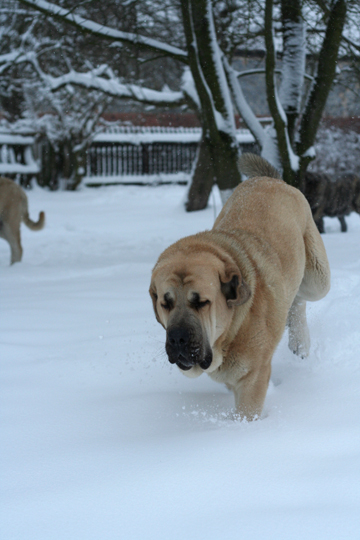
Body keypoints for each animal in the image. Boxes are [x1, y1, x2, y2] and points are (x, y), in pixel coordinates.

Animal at [150, 154, 332, 420]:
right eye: (165, 303)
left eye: (202, 302)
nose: (178, 338)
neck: (230, 332)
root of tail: (269, 178)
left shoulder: (252, 378)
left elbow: (246, 412)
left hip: (317, 277)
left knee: (300, 298)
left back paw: (299, 340)